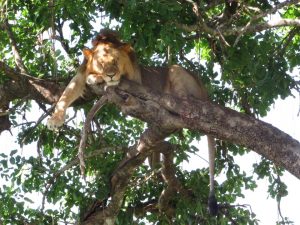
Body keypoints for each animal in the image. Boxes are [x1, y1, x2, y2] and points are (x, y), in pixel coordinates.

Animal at [47, 29, 218, 215]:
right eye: (100, 63)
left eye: (115, 61)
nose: (110, 74)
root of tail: (204, 90)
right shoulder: (80, 73)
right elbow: (65, 95)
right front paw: (55, 119)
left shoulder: (135, 79)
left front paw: (96, 78)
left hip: (176, 71)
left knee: (182, 102)